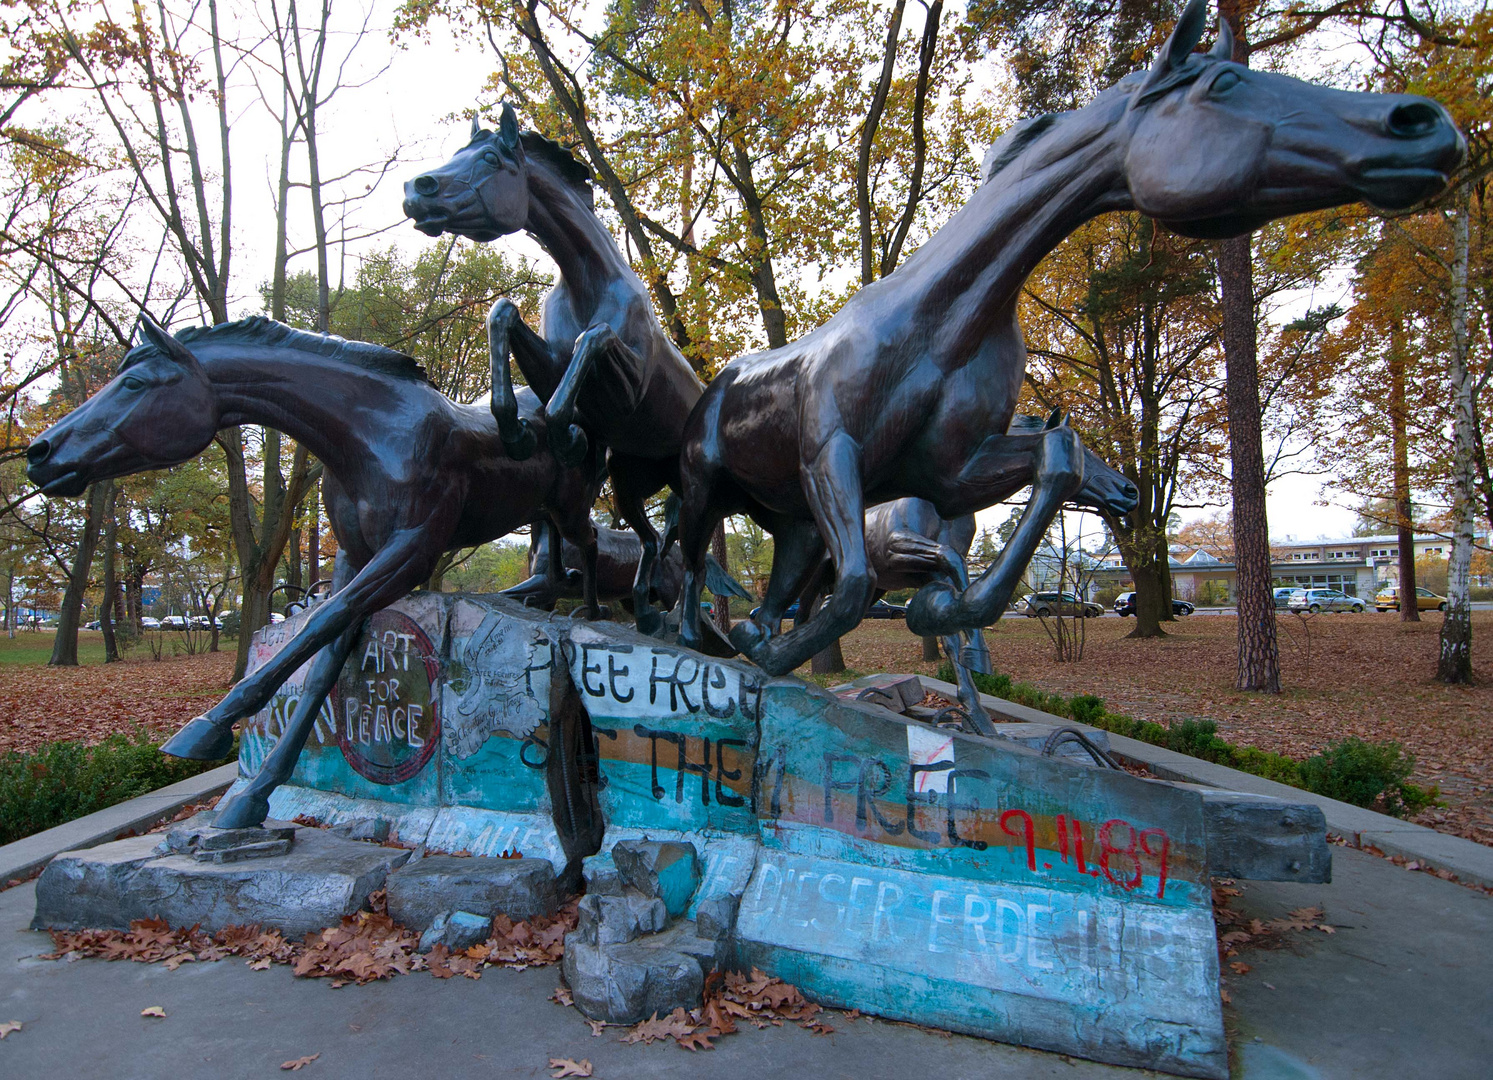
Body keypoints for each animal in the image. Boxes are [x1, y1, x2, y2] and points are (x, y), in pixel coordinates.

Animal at [403, 105, 704, 633]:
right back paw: (645, 613)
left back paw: (683, 624)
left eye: (490, 159)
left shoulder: (626, 387)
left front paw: (567, 438)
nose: (417, 190)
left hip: (684, 488)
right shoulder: (548, 367)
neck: (588, 282)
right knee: (649, 543)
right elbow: (503, 314)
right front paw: (519, 432)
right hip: (628, 485)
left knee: (689, 559)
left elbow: (593, 340)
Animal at [674, 2, 1457, 675]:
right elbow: (856, 586)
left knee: (767, 592)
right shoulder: (832, 458)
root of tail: (717, 382)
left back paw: (752, 635)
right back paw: (700, 636)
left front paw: (949, 612)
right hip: (706, 489)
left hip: (794, 523)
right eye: (1225, 82)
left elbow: (1053, 463)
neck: (941, 324)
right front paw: (785, 648)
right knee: (681, 565)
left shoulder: (945, 473)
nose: (1422, 121)